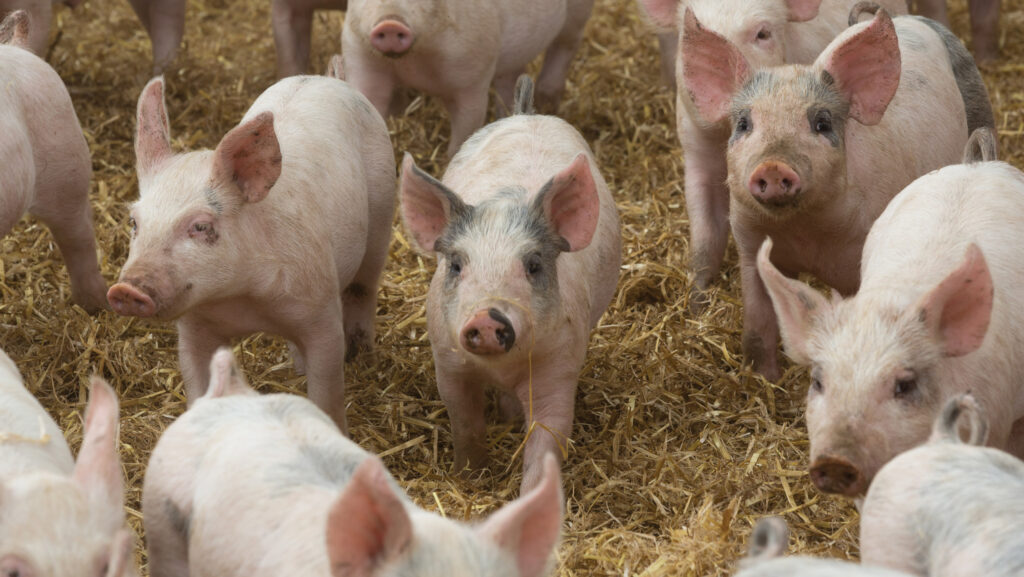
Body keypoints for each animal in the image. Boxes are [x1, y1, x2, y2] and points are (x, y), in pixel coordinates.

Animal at [106, 73, 396, 432]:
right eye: (134, 222)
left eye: (200, 226)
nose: (126, 288)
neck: (244, 300)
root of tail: (327, 78)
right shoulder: (194, 329)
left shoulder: (322, 311)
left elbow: (327, 393)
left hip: (383, 210)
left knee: (364, 288)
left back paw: (363, 355)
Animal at [342, 0, 594, 157]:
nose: (390, 23)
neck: (414, 63)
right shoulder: (360, 57)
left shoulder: (473, 77)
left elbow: (463, 132)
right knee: (509, 80)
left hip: (577, 16)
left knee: (564, 47)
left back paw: (548, 101)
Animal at [399, 76, 621, 493]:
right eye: (456, 264)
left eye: (533, 265)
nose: (487, 317)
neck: (500, 367)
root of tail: (525, 112)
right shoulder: (446, 361)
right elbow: (465, 422)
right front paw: (469, 477)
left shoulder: (559, 368)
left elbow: (546, 439)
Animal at [682, 7, 993, 378]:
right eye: (743, 124)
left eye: (822, 123)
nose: (773, 166)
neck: (804, 232)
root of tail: (911, 19)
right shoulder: (749, 241)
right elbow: (757, 329)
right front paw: (764, 379)